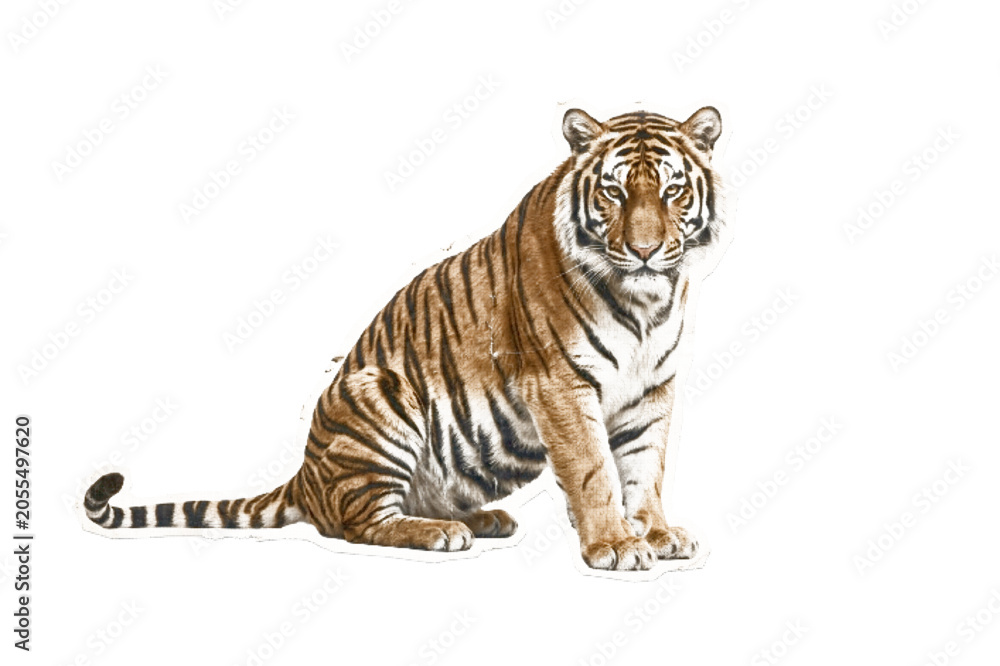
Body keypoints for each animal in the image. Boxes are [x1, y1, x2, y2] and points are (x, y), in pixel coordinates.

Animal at [84, 106, 726, 571]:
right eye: (614, 193)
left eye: (672, 192)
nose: (644, 250)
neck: (646, 301)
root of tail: (306, 477)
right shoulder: (560, 382)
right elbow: (594, 471)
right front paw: (613, 544)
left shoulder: (652, 387)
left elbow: (645, 467)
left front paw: (657, 533)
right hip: (381, 392)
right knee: (355, 523)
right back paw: (442, 532)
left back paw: (482, 520)